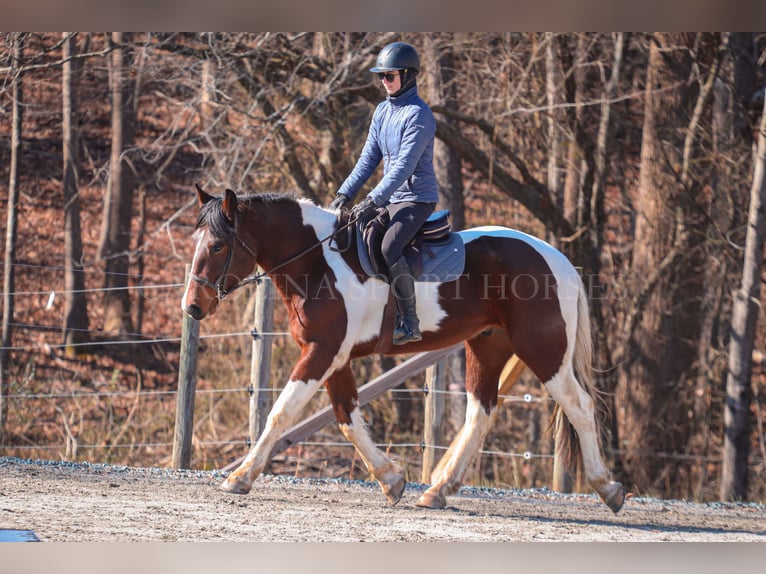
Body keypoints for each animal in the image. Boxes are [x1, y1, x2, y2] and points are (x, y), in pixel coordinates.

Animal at [183, 187, 628, 516]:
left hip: (545, 352)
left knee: (579, 407)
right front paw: (391, 480)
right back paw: (438, 490)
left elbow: (282, 413)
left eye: (218, 245)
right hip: (488, 346)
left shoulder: (321, 353)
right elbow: (347, 417)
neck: (318, 263)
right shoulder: (334, 358)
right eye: (195, 241)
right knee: (481, 411)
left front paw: (240, 477)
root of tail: (557, 258)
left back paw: (608, 488)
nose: (193, 307)